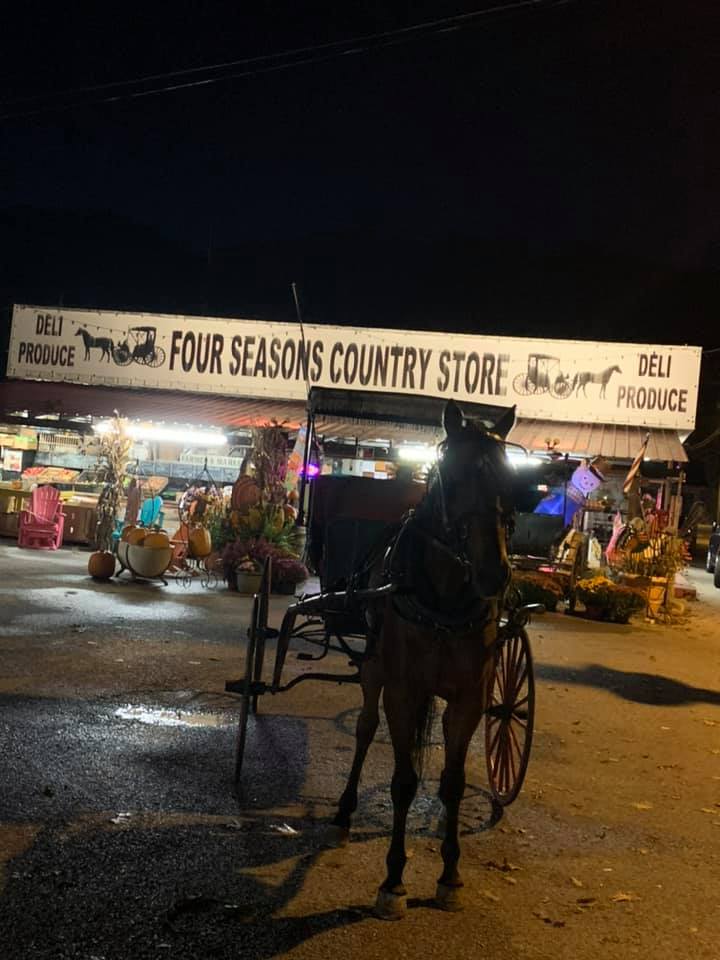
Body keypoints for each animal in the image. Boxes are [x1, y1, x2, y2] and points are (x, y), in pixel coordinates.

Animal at [333, 399, 515, 919]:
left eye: (509, 479)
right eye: (450, 476)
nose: (494, 573)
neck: (445, 599)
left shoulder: (470, 698)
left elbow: (452, 783)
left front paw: (450, 874)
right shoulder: (403, 691)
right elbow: (404, 781)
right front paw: (393, 880)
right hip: (373, 669)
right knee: (364, 728)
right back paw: (345, 809)